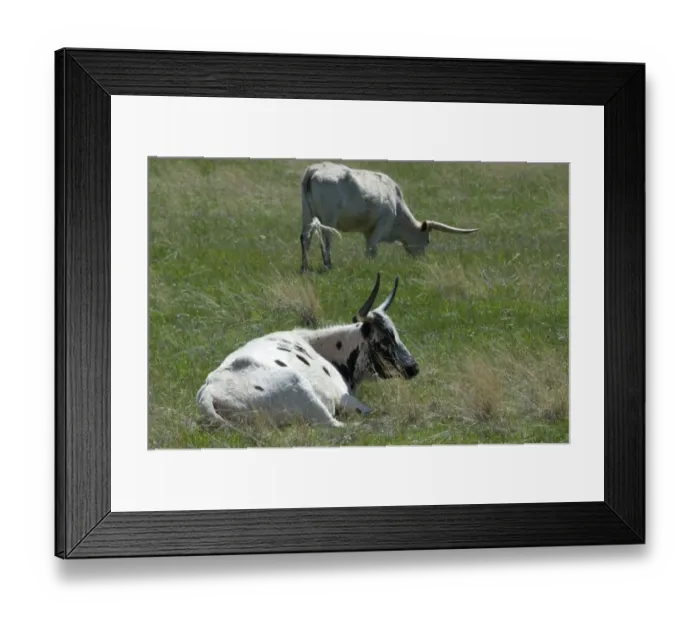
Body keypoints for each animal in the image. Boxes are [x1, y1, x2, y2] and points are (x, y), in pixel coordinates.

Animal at [196, 273, 419, 429]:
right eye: (382, 341)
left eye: (396, 334)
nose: (413, 367)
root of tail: (209, 390)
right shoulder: (343, 397)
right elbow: (367, 410)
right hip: (302, 388)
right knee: (336, 425)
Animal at [299, 161, 478, 272]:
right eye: (427, 240)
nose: (420, 260)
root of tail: (315, 169)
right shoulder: (382, 225)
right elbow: (372, 248)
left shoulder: (368, 230)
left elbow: (370, 247)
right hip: (329, 218)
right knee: (326, 239)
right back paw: (328, 265)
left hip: (307, 214)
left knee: (305, 237)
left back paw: (305, 267)